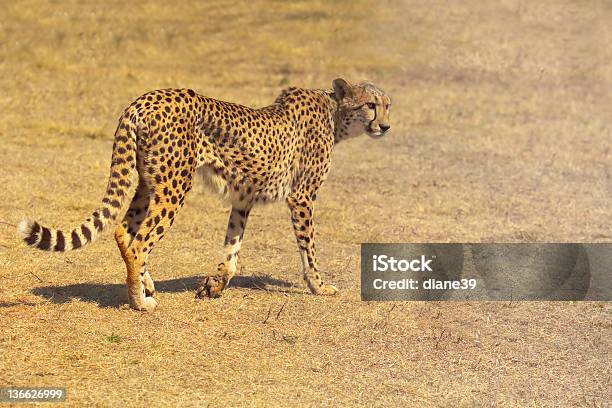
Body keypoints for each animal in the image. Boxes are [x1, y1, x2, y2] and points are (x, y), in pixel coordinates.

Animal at [20, 78, 392, 310]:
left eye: (388, 105)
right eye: (370, 105)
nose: (386, 126)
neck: (335, 113)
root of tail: (142, 101)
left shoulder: (243, 198)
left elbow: (232, 247)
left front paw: (215, 284)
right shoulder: (301, 197)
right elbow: (309, 248)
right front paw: (319, 286)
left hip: (148, 182)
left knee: (124, 232)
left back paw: (145, 286)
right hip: (174, 187)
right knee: (139, 241)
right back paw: (141, 302)